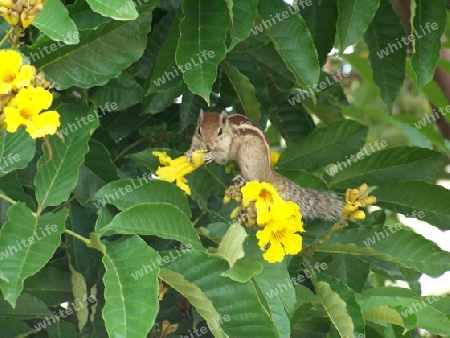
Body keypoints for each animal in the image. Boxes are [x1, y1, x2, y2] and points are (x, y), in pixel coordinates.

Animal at [186, 109, 344, 222]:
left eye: (219, 131)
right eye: (199, 130)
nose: (208, 145)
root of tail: (268, 171)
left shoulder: (227, 148)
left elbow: (223, 158)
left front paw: (212, 155)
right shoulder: (196, 139)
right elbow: (194, 147)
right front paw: (188, 153)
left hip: (249, 155)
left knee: (255, 179)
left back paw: (242, 180)